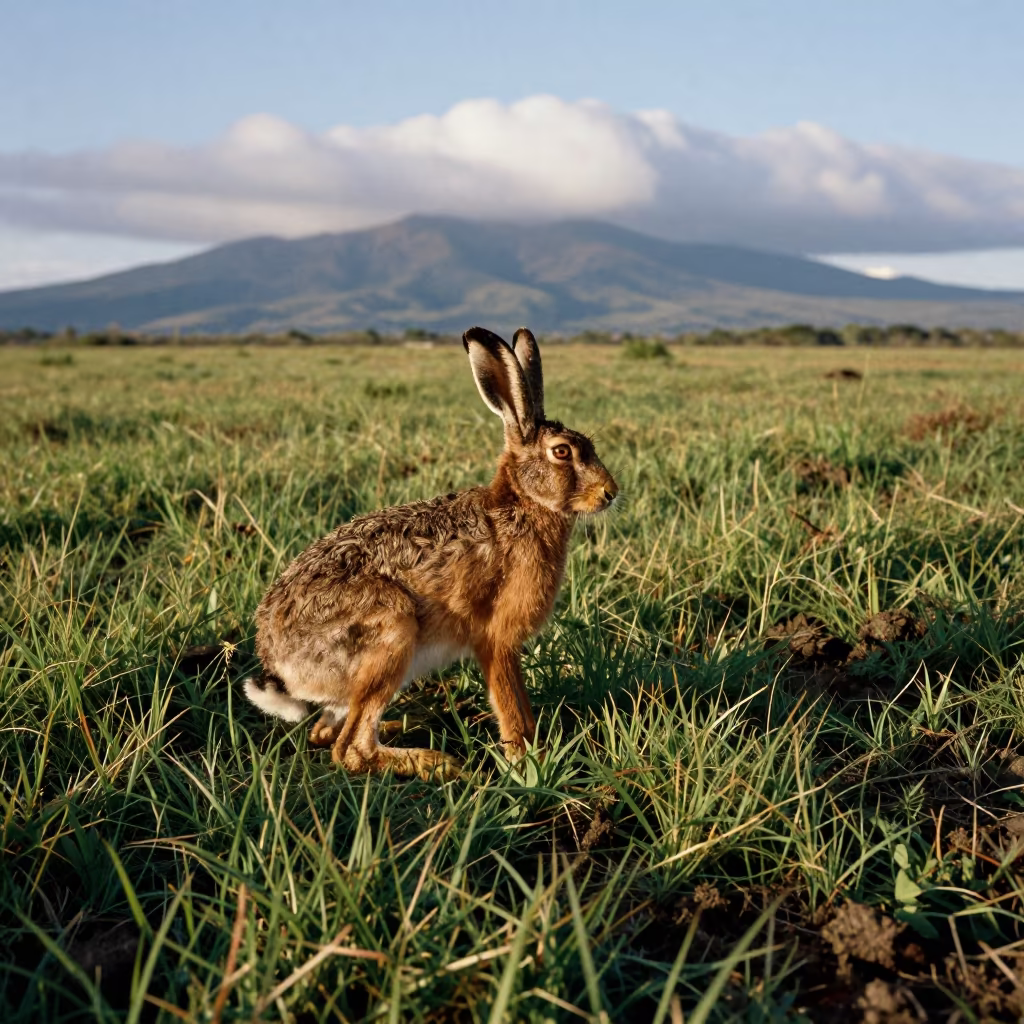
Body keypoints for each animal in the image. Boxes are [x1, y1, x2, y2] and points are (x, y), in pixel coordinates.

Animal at [243, 326, 618, 781]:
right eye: (563, 452)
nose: (610, 493)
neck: (523, 504)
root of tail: (281, 667)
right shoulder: (497, 640)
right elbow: (513, 706)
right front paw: (528, 761)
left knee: (326, 731)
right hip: (390, 631)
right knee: (350, 749)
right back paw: (436, 762)